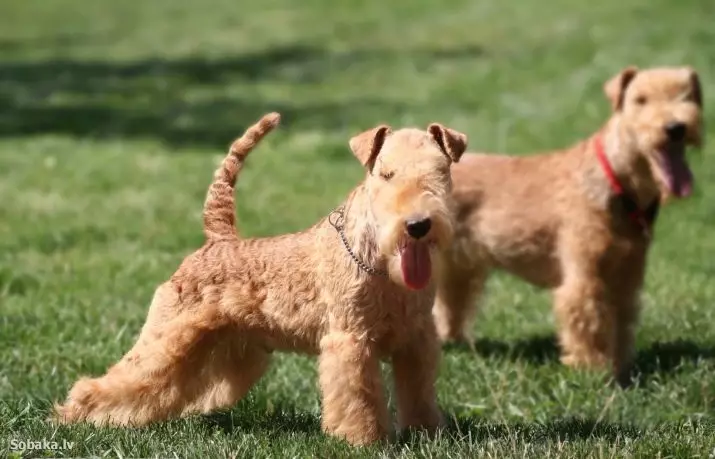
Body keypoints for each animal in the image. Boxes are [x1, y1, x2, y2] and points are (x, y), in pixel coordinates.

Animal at [56, 111, 470, 446]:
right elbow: (359, 398)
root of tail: (219, 238)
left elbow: (418, 393)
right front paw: (363, 440)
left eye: (441, 171)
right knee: (117, 379)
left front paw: (426, 434)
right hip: (166, 335)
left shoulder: (416, 340)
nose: (417, 225)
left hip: (230, 351)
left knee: (181, 389)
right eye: (386, 174)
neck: (381, 264)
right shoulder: (351, 342)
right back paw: (73, 415)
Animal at [434, 65, 704, 384]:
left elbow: (621, 322)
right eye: (640, 100)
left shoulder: (627, 273)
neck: (616, 180)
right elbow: (589, 319)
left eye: (688, 95)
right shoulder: (585, 274)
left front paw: (621, 366)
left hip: (456, 264)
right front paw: (594, 371)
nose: (676, 128)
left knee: (449, 304)